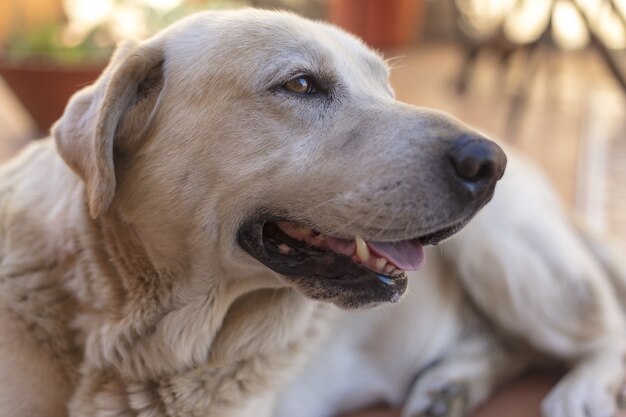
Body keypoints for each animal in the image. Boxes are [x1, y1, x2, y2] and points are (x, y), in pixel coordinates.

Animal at [0, 6, 620, 416]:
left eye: (388, 89)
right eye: (301, 84)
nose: (490, 163)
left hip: (509, 258)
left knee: (605, 329)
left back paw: (581, 392)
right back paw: (451, 385)